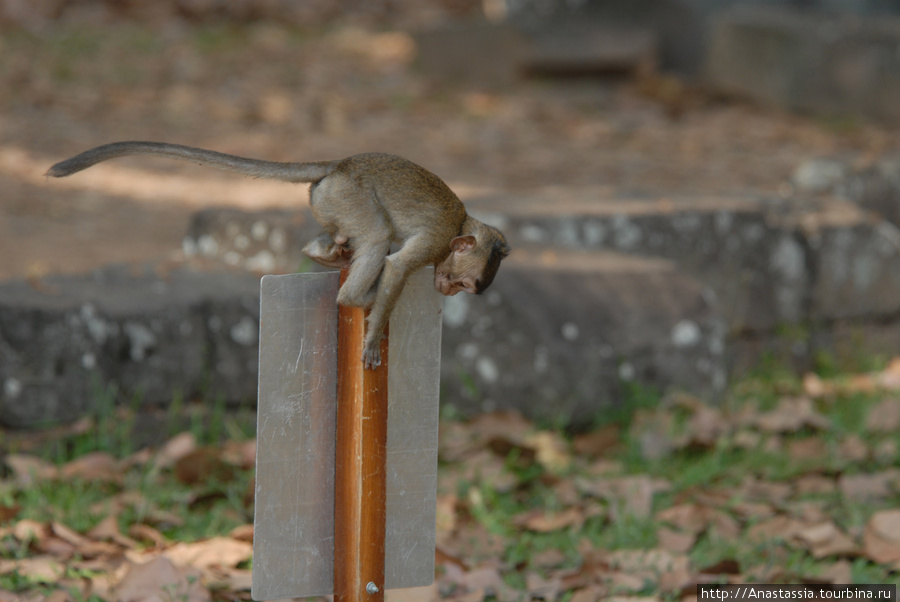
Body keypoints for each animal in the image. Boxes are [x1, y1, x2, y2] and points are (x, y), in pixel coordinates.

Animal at [45, 142, 510, 366]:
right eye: (462, 282)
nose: (448, 292)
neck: (461, 224)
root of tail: (340, 164)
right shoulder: (435, 240)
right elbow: (395, 266)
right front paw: (374, 332)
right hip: (350, 196)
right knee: (378, 237)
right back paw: (356, 297)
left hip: (331, 199)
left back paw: (326, 253)